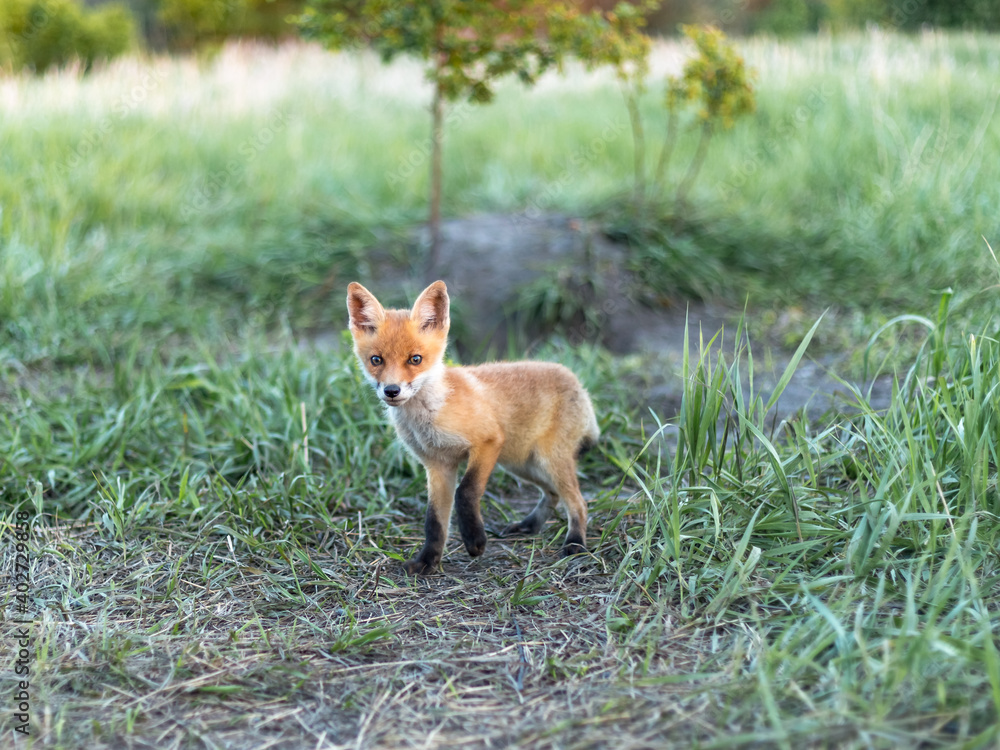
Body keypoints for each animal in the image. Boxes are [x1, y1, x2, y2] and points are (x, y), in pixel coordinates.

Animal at [346, 280, 600, 575]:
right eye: (376, 360)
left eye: (415, 359)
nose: (391, 391)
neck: (431, 415)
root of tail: (575, 379)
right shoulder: (437, 465)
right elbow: (434, 521)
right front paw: (427, 561)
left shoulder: (487, 442)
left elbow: (466, 491)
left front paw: (475, 540)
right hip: (522, 464)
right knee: (552, 494)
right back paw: (529, 525)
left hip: (546, 460)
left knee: (579, 503)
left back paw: (575, 543)